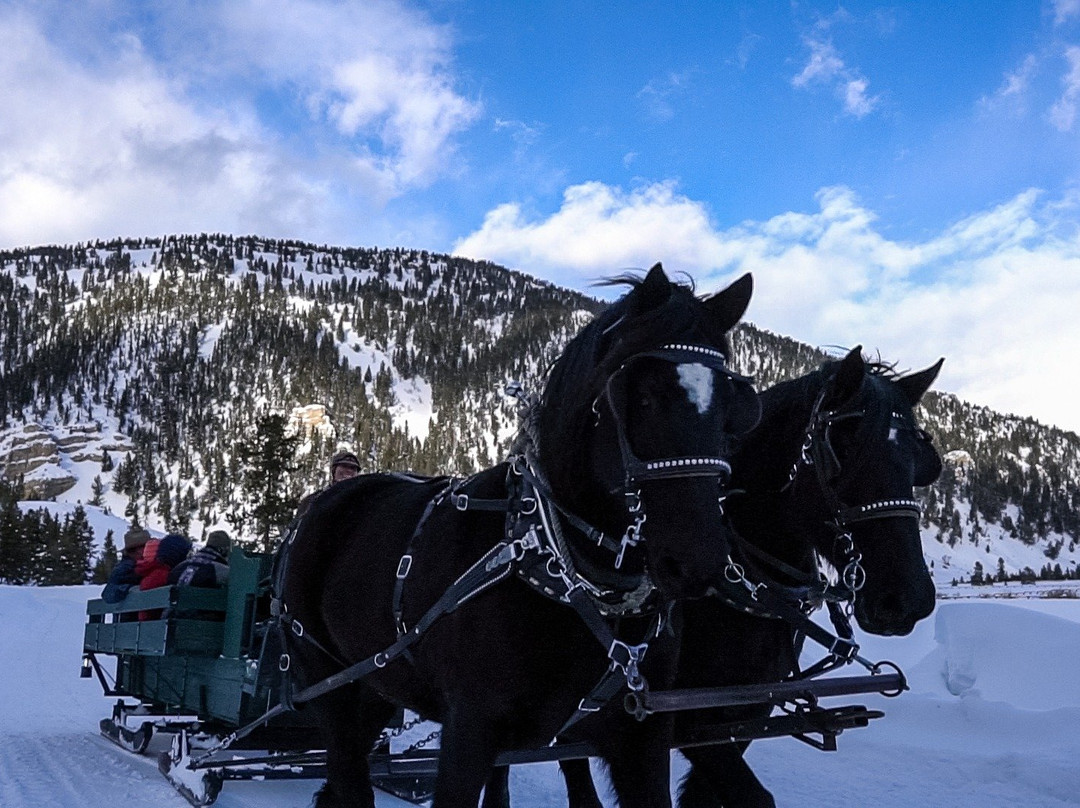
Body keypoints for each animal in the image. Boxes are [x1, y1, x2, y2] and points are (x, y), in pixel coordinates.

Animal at [282, 266, 764, 808]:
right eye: (642, 395)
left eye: (734, 409)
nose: (698, 560)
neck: (560, 575)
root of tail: (321, 502)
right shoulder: (471, 728)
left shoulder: (642, 737)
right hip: (325, 682)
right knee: (348, 774)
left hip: (379, 681)